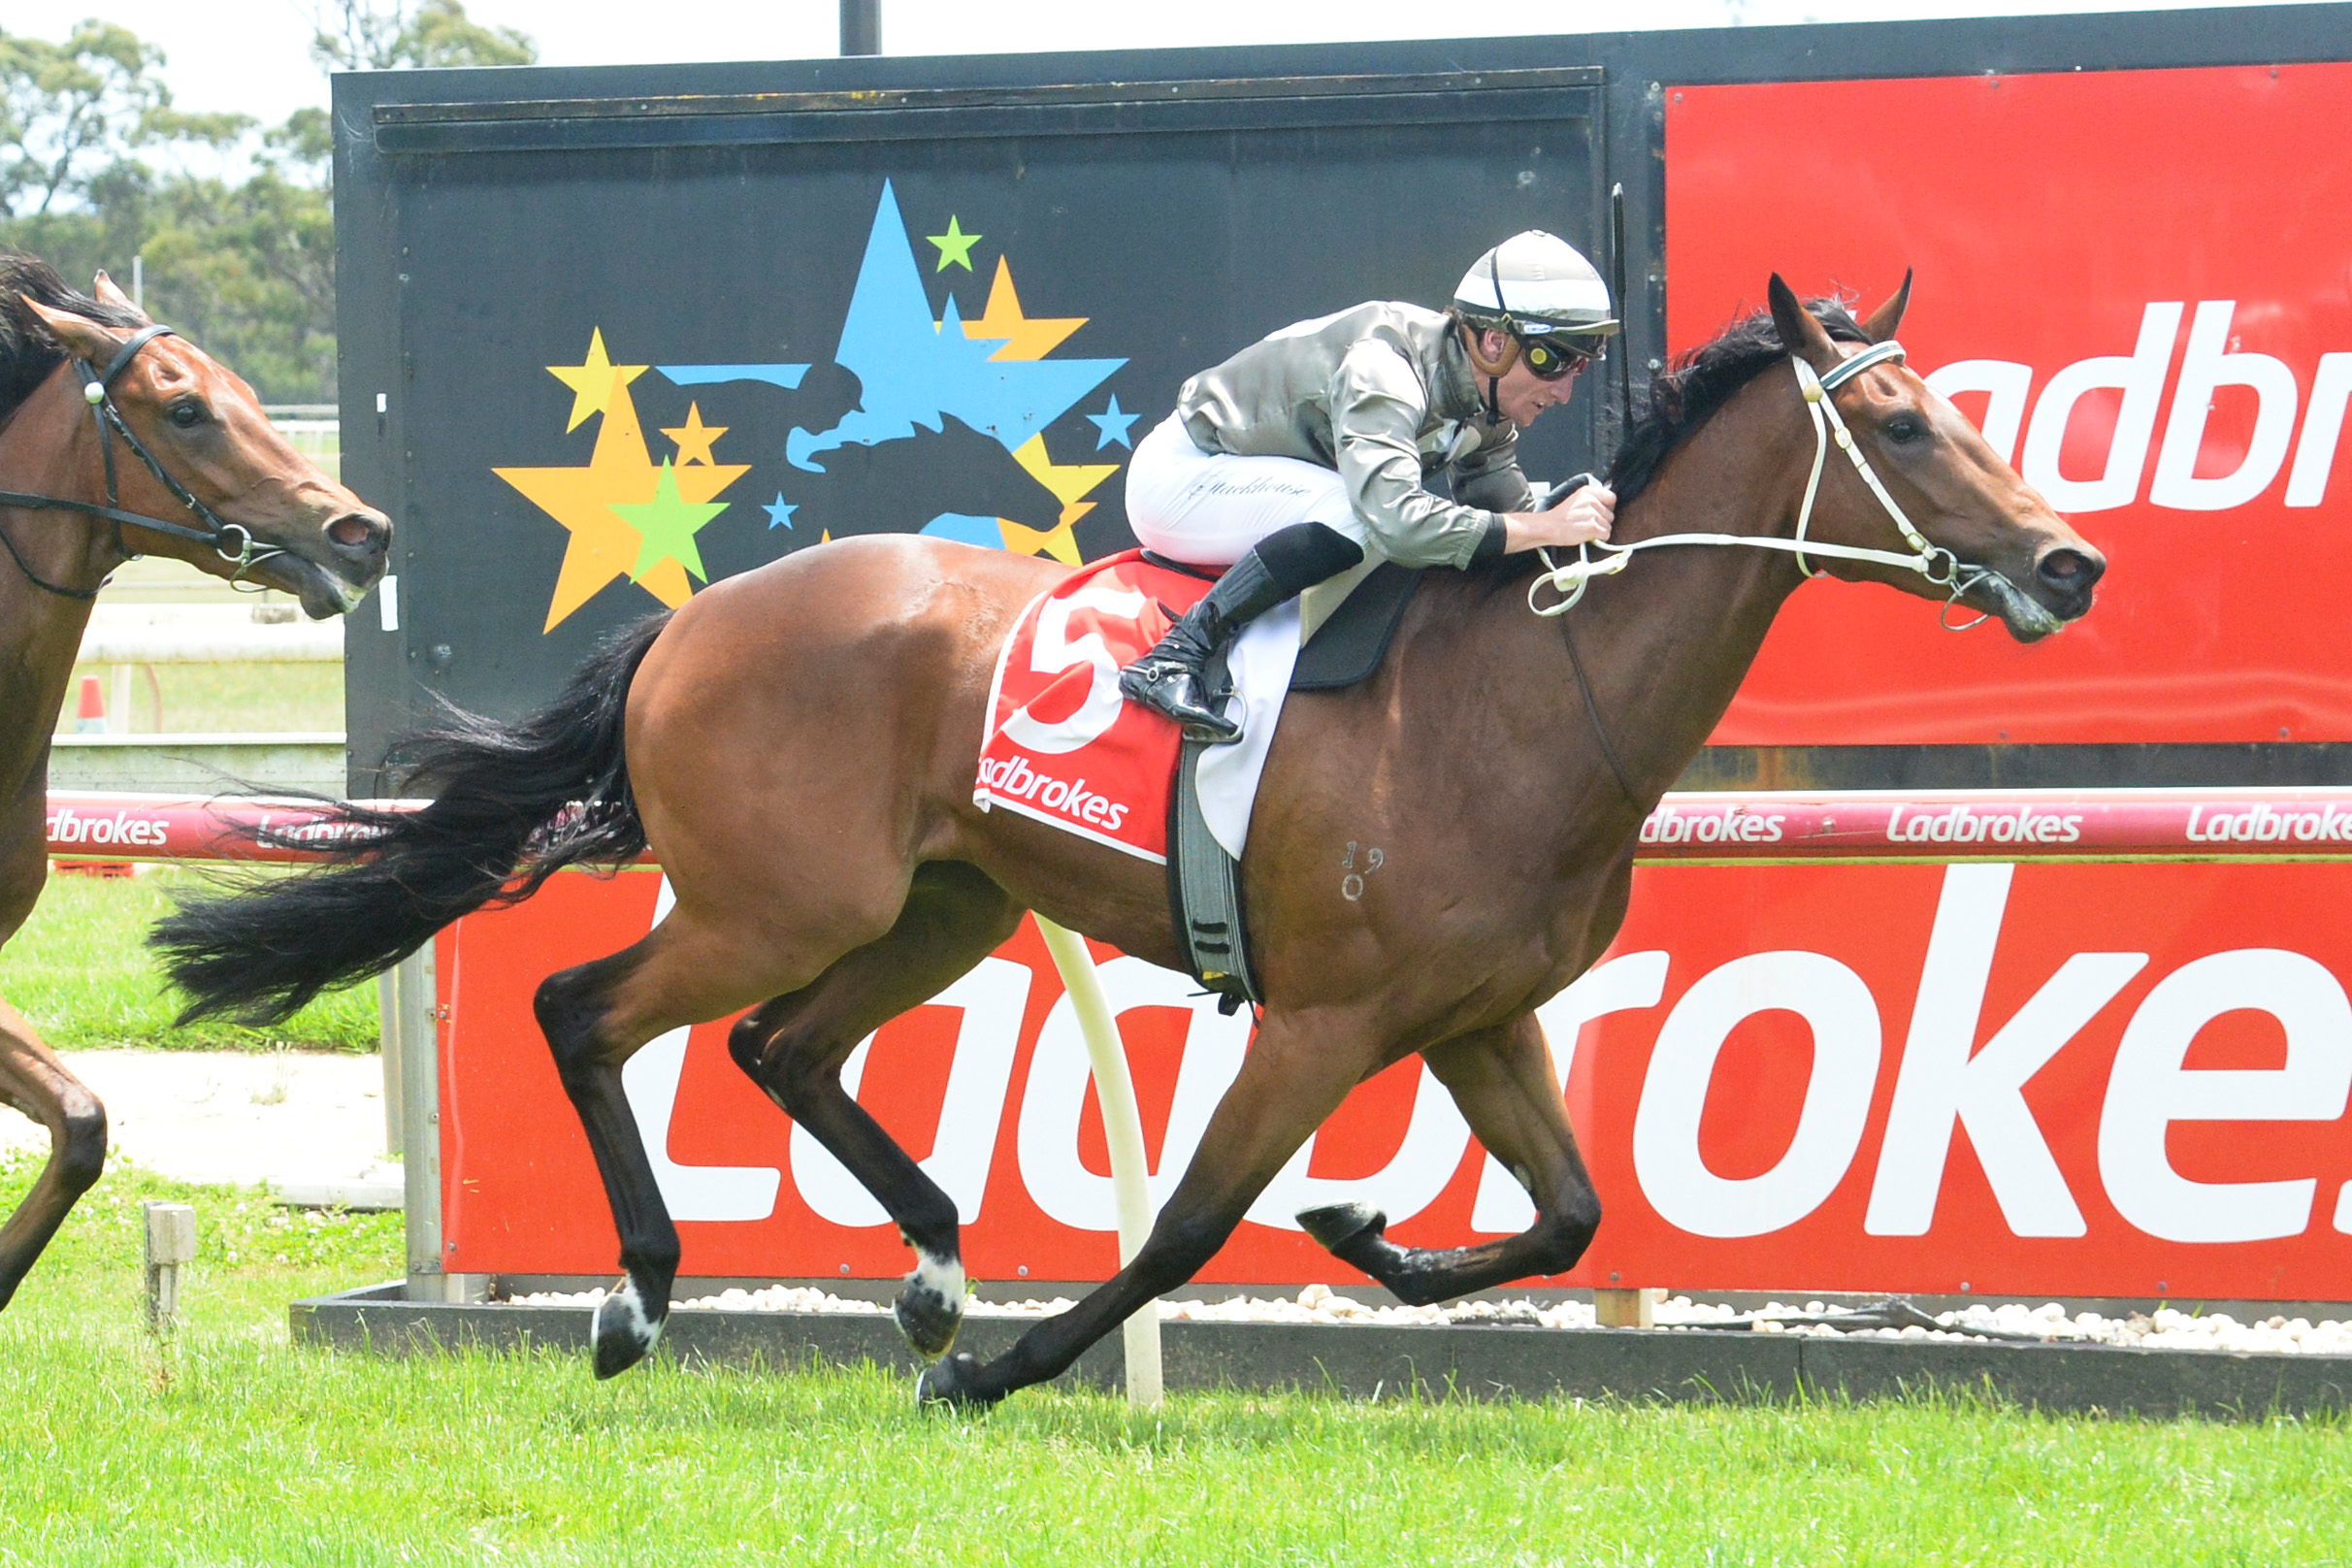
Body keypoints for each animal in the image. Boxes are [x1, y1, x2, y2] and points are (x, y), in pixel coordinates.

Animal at [154, 275, 2103, 1407]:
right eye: (1907, 420)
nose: (2069, 560)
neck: (1530, 691)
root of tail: (693, 616)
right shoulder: (1327, 1017)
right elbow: (1183, 1229)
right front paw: (1017, 1371)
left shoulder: (1477, 1013)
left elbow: (1566, 1215)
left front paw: (1370, 1229)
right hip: (781, 896)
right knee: (585, 1009)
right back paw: (647, 1301)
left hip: (936, 904)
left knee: (777, 1048)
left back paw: (933, 1271)